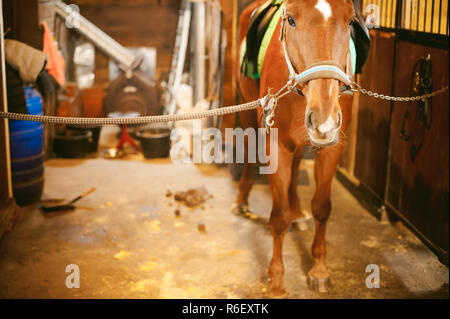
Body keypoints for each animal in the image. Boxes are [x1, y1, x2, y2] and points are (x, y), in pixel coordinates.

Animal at [236, 0, 356, 298]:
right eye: (290, 20)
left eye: (350, 22)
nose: (324, 118)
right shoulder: (276, 146)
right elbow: (277, 217)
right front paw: (277, 281)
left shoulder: (332, 148)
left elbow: (322, 208)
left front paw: (319, 271)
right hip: (246, 108)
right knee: (248, 151)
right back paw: (242, 200)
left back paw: (297, 212)